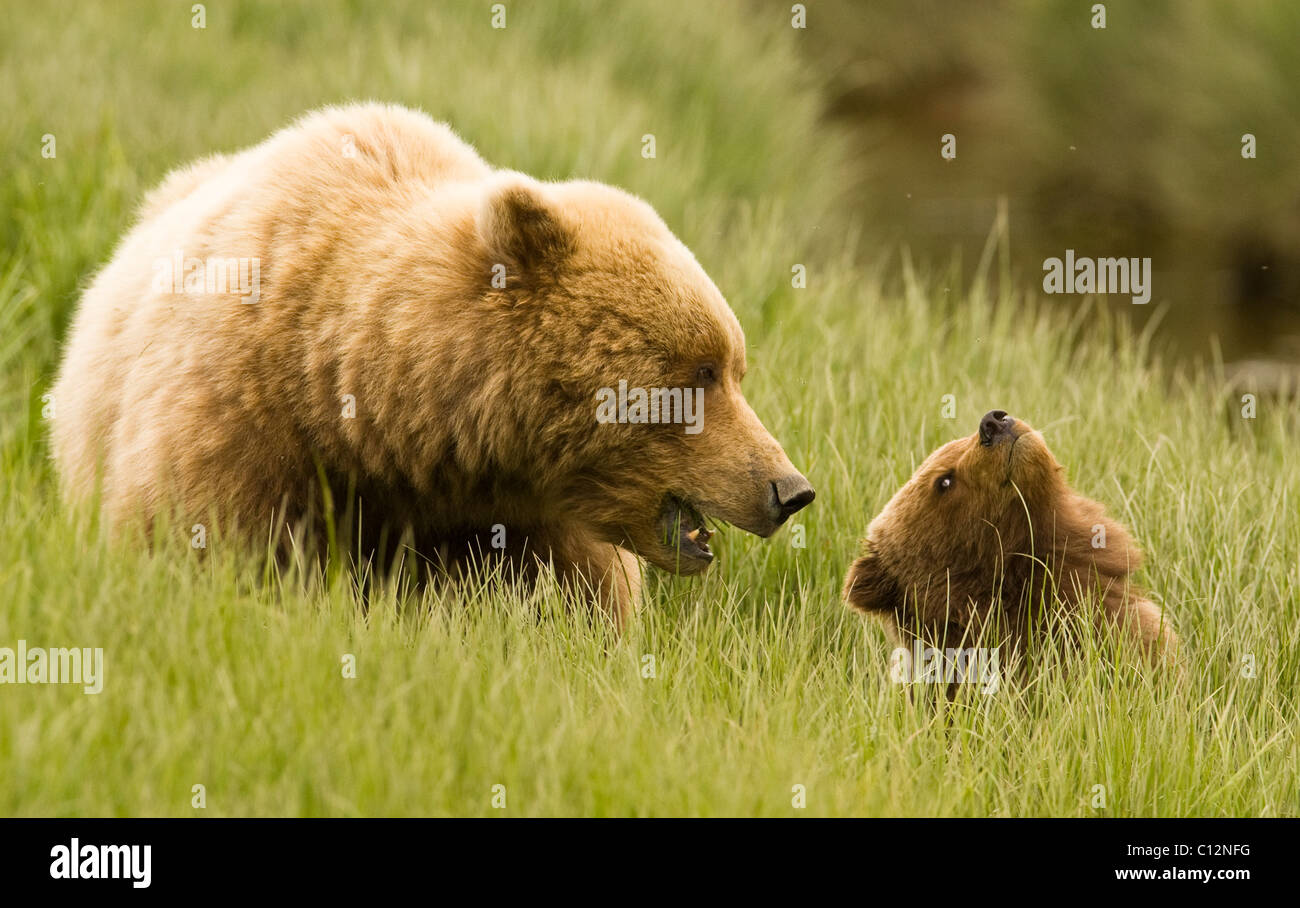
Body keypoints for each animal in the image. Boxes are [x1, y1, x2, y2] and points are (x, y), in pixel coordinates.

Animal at [50, 103, 815, 626]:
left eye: (734, 366)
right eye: (701, 371)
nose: (788, 488)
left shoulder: (532, 524)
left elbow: (582, 606)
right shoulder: (239, 421)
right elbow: (199, 544)